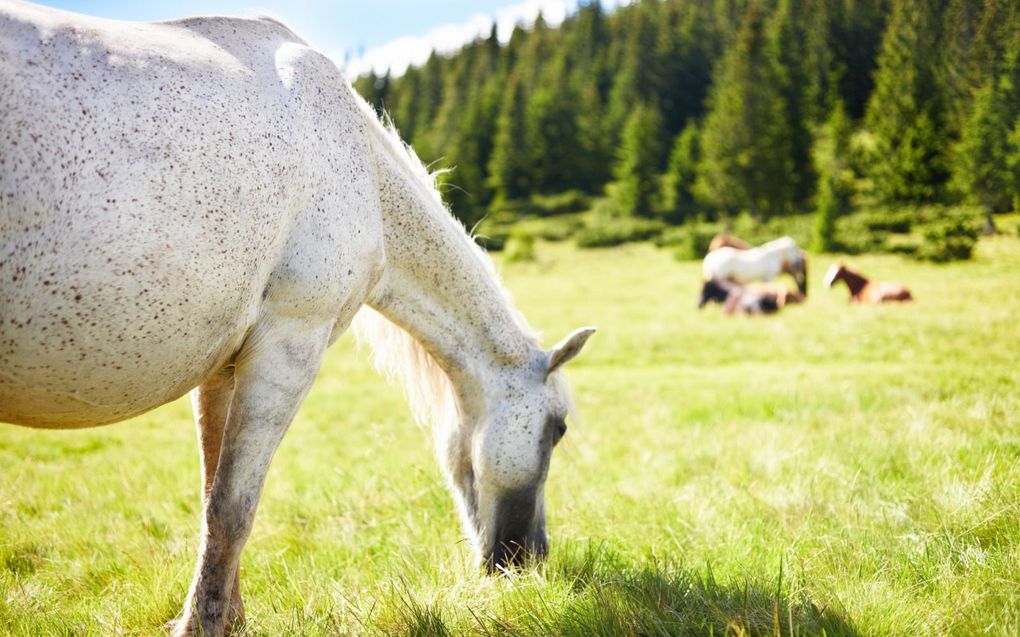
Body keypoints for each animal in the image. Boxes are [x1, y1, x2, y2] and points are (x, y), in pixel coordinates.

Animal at [0, 2, 595, 631]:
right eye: (556, 429)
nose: (529, 560)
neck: (362, 170)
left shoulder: (225, 364)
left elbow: (214, 498)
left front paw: (227, 618)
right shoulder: (288, 346)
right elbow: (233, 507)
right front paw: (203, 626)